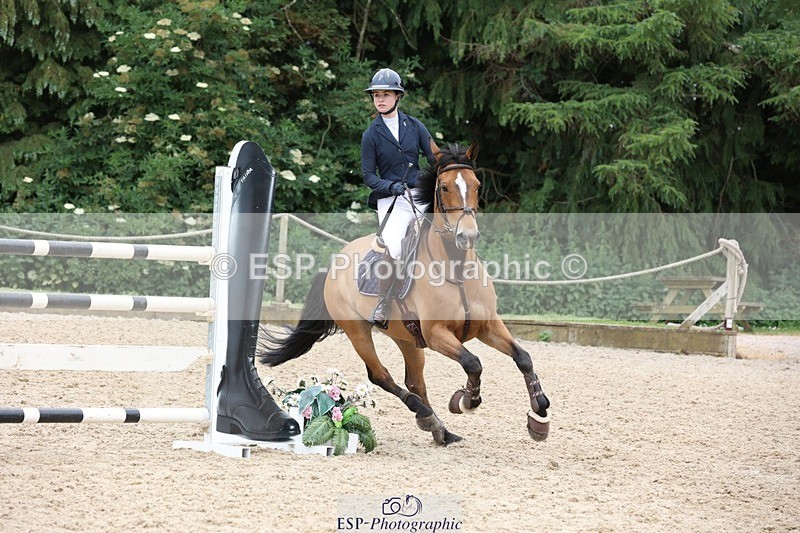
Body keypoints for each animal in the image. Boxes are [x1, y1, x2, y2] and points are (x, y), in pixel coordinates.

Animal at [258, 140, 550, 445]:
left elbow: (523, 357)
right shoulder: (437, 334)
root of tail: (336, 258)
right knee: (380, 375)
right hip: (358, 332)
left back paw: (438, 427)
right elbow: (473, 362)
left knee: (415, 381)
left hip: (407, 338)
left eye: (477, 185)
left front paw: (539, 411)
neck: (456, 270)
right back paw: (424, 413)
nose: (467, 236)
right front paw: (466, 400)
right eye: (443, 187)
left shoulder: (488, 326)